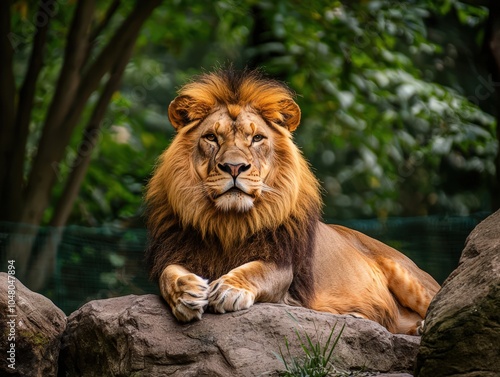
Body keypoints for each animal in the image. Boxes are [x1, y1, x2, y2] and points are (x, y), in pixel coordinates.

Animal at [146, 69, 442, 334]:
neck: (229, 222)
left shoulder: (281, 264)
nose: (234, 167)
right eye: (211, 137)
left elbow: (256, 271)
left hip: (410, 276)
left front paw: (230, 288)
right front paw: (186, 292)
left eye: (257, 138)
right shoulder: (175, 252)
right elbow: (168, 276)